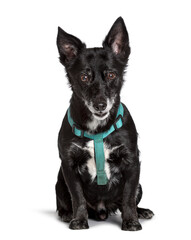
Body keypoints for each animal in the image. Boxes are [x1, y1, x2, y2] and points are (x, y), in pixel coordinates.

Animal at [55, 16, 154, 231]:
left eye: (111, 75)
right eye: (84, 77)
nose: (100, 104)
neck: (97, 129)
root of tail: (103, 210)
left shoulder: (132, 164)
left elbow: (128, 198)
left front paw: (131, 221)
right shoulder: (68, 166)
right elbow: (78, 198)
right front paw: (79, 220)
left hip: (140, 186)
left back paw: (142, 212)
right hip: (59, 181)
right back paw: (66, 214)